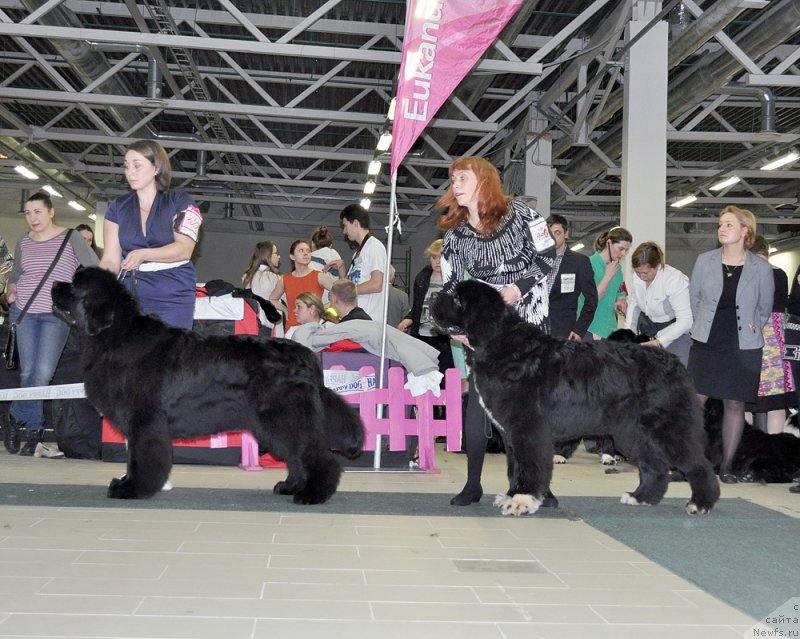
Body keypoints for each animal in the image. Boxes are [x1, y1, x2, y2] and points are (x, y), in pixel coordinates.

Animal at [54, 266, 368, 504]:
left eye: (74, 286)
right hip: (274, 424)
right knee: (297, 457)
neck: (116, 336)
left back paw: (312, 494)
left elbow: (141, 458)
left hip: (286, 417)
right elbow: (135, 458)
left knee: (317, 457)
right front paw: (128, 483)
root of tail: (306, 357)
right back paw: (290, 487)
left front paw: (132, 488)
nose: (55, 284)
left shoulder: (145, 421)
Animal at [434, 280, 720, 516]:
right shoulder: (510, 432)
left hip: (666, 428)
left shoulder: (527, 429)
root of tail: (674, 362)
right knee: (655, 466)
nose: (435, 295)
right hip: (632, 433)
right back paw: (640, 497)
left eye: (458, 300)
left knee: (697, 463)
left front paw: (522, 500)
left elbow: (529, 465)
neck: (503, 346)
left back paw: (700, 503)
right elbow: (514, 466)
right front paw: (513, 495)